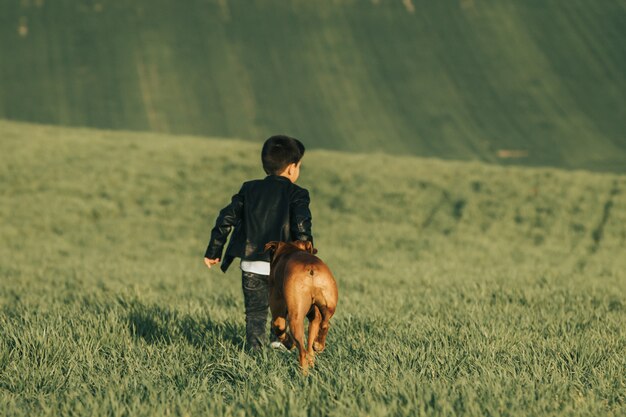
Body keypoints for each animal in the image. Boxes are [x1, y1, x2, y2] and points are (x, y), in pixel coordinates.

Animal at [262, 239, 336, 372]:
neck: (289, 249)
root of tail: (311, 268)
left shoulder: (277, 307)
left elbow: (279, 328)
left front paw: (289, 344)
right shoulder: (314, 317)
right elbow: (311, 341)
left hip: (295, 319)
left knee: (302, 352)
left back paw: (303, 373)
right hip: (329, 306)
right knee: (324, 325)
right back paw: (318, 345)